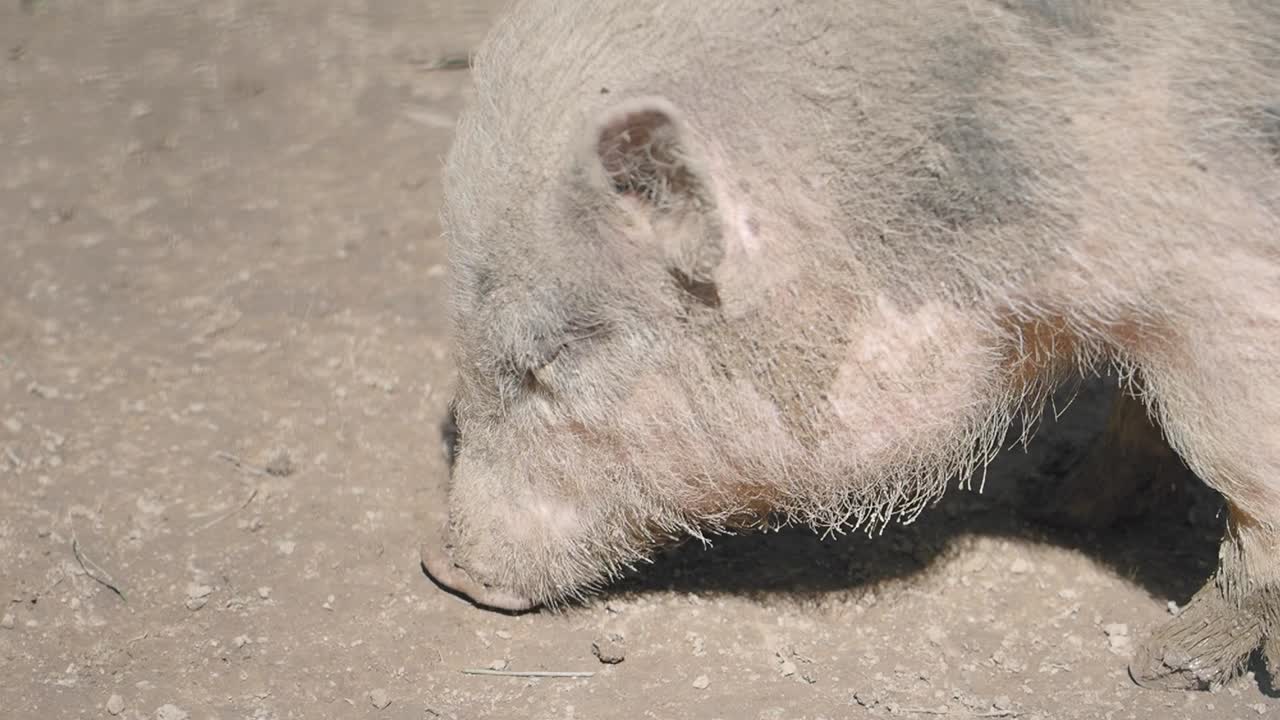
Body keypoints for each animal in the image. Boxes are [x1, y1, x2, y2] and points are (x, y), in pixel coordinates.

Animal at [421, 0, 1280, 692]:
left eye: (554, 358)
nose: (442, 569)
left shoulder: (1226, 300)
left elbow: (1244, 478)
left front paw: (1160, 668)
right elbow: (1140, 405)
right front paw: (1058, 510)